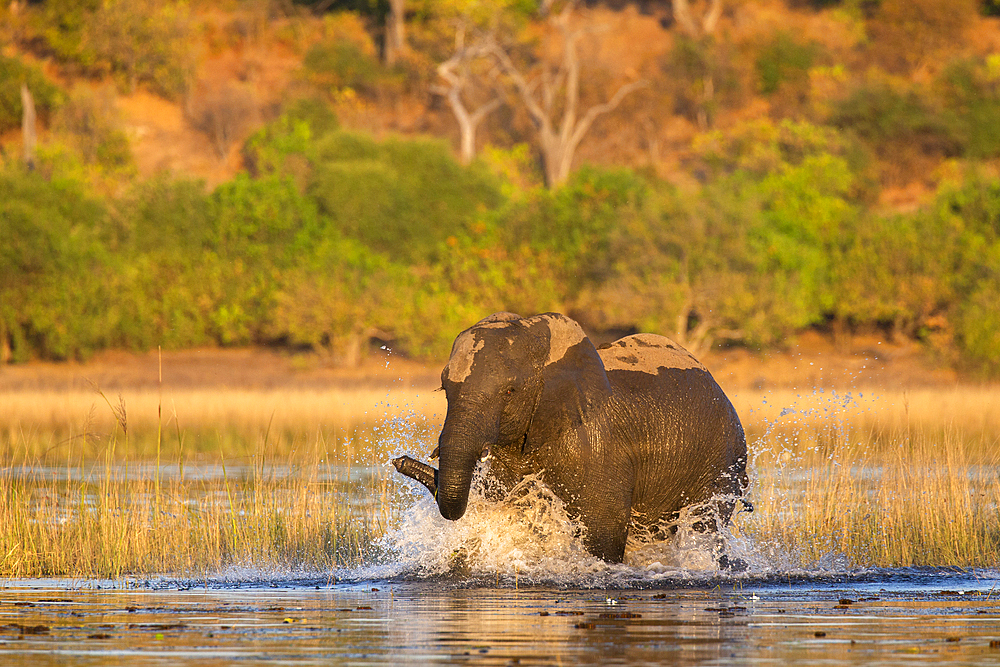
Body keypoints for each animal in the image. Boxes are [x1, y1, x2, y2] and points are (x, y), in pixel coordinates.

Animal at [394, 314, 748, 564]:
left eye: (509, 391)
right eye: (444, 389)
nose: (399, 460)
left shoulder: (601, 446)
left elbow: (602, 535)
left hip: (722, 462)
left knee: (703, 527)